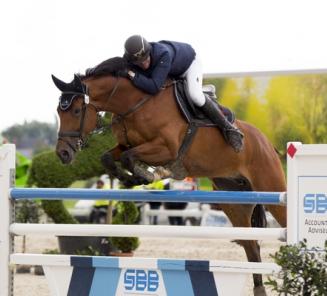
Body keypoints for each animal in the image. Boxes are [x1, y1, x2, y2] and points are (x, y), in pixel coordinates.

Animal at [52, 56, 288, 294]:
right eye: (59, 112)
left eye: (76, 111)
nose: (63, 153)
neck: (134, 104)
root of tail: (266, 142)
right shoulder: (125, 144)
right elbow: (108, 157)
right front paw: (130, 178)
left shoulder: (167, 148)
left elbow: (129, 156)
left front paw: (146, 175)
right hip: (234, 201)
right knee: (251, 245)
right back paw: (259, 288)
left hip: (272, 189)